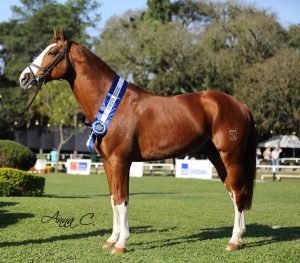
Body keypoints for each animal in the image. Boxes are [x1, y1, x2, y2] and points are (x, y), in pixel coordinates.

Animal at [19, 31, 256, 256]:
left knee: (238, 191)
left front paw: (121, 244)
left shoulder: (120, 161)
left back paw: (234, 241)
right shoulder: (107, 163)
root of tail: (240, 105)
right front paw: (111, 240)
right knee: (234, 192)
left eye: (52, 52)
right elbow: (113, 199)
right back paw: (239, 237)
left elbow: (122, 199)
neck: (113, 104)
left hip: (230, 157)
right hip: (216, 157)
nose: (24, 77)